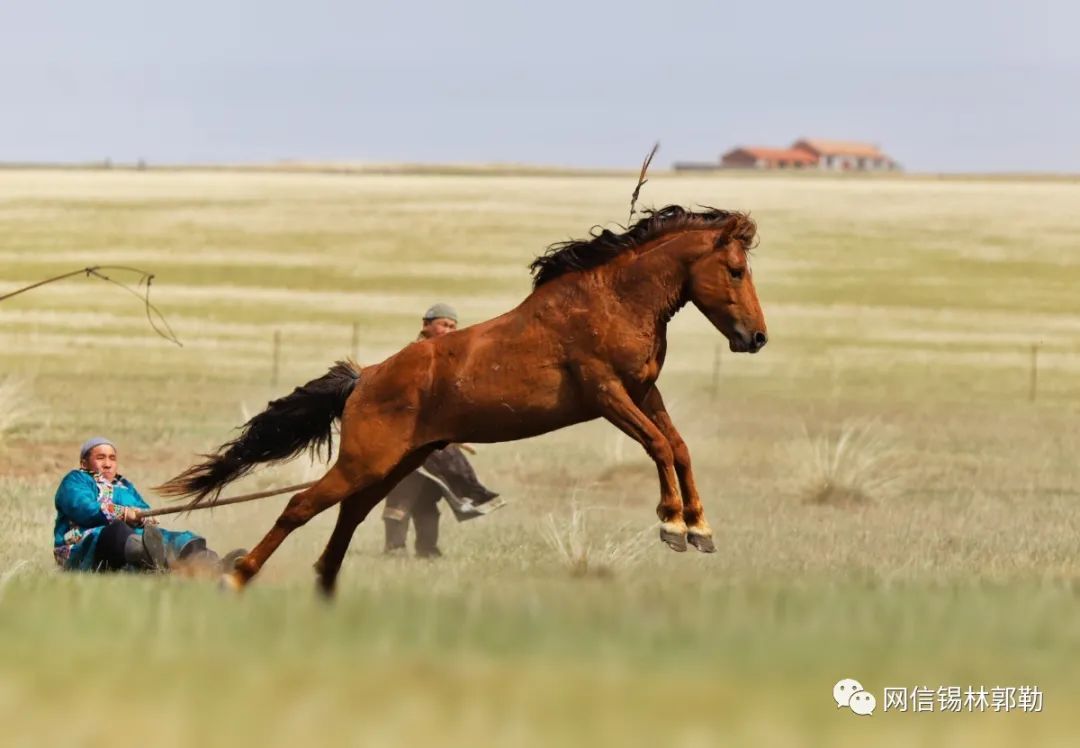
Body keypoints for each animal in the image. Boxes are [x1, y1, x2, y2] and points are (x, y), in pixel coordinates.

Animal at [159, 202, 768, 591]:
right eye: (736, 270)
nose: (756, 337)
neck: (613, 301)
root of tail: (366, 377)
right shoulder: (606, 394)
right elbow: (659, 447)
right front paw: (672, 526)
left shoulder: (644, 389)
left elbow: (679, 447)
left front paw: (699, 529)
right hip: (366, 461)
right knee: (300, 507)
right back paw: (240, 577)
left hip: (398, 463)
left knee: (351, 514)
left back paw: (326, 587)